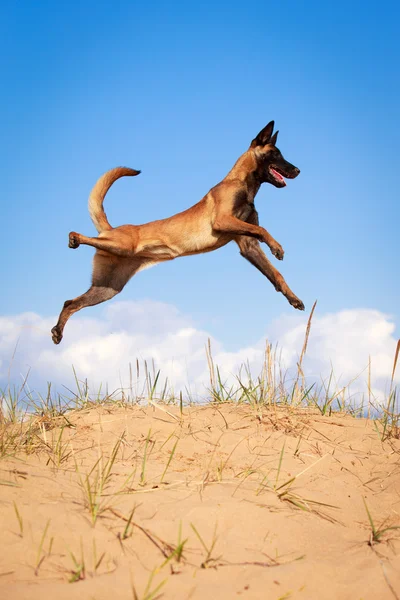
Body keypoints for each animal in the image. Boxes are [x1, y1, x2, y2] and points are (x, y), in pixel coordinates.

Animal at [51, 119, 304, 344]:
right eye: (275, 154)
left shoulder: (247, 245)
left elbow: (276, 274)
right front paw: (277, 247)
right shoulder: (223, 221)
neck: (242, 183)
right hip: (121, 246)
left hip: (107, 287)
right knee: (87, 240)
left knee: (69, 303)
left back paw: (57, 331)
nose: (298, 170)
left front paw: (293, 298)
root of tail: (111, 229)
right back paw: (74, 238)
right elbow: (262, 229)